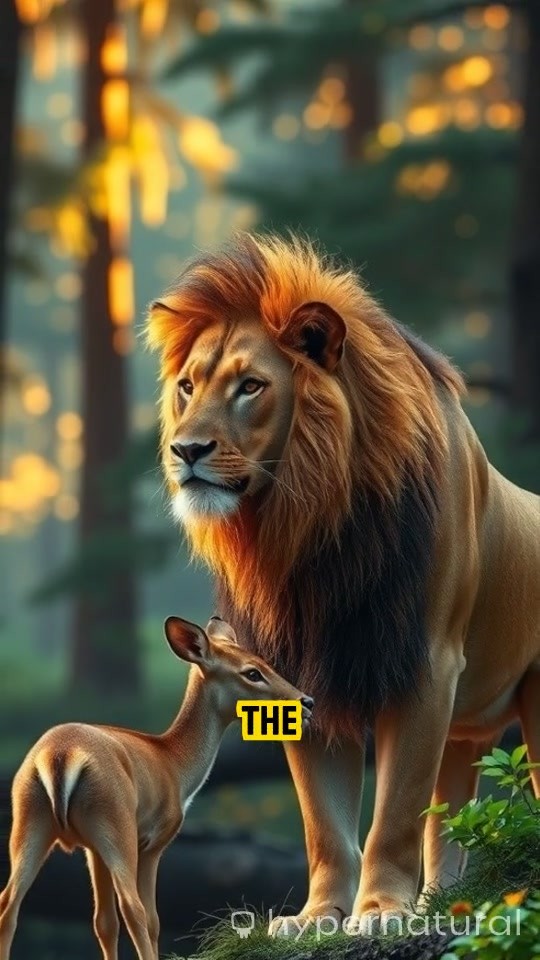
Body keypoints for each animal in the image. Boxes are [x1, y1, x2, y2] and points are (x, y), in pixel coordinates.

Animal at [0, 615, 314, 960]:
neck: (175, 765)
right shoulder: (154, 840)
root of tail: (59, 755)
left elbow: (104, 922)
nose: (307, 702)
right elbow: (151, 919)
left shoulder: (91, 849)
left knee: (8, 904)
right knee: (133, 908)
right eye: (252, 673)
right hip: (116, 822)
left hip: (30, 819)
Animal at [147, 234, 540, 934]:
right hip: (467, 733)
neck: (315, 529)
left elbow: (397, 811)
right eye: (188, 386)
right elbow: (324, 822)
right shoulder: (298, 668)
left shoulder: (426, 663)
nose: (184, 451)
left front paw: (381, 911)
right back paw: (443, 903)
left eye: (251, 386)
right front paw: (317, 917)